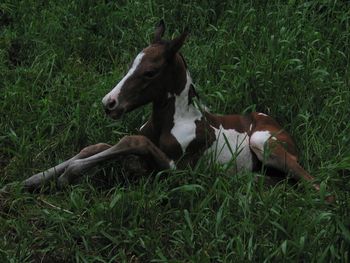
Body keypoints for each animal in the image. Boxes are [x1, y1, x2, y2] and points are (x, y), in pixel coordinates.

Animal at [15, 21, 328, 200]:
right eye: (131, 63)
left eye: (150, 72)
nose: (109, 103)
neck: (171, 122)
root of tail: (274, 122)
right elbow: (99, 147)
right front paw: (35, 179)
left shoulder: (176, 171)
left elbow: (131, 142)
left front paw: (68, 175)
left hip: (262, 142)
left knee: (316, 187)